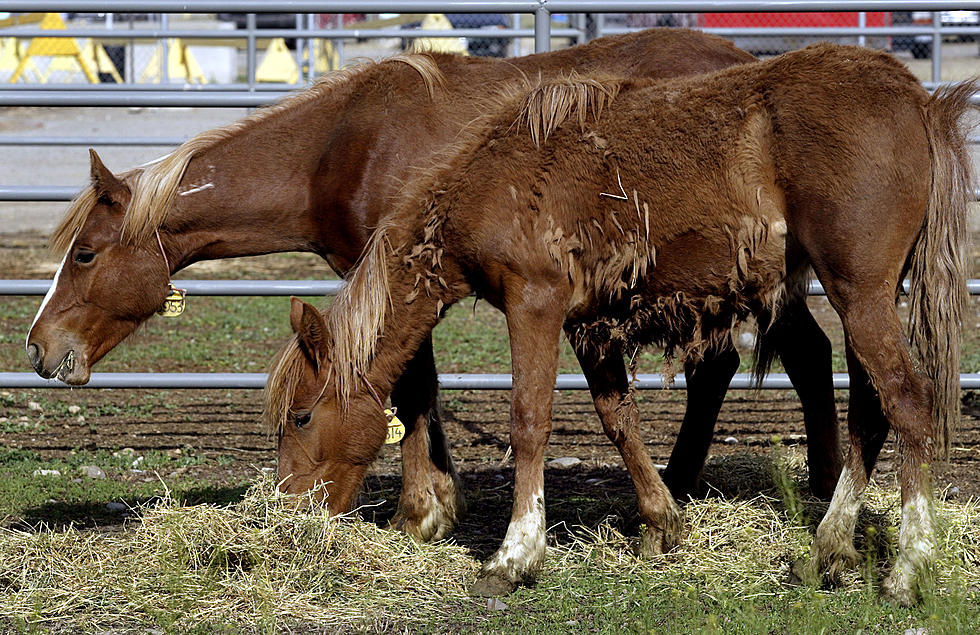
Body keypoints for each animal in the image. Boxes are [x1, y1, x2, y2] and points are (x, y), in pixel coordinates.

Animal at [23, 28, 840, 540]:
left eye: (85, 255)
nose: (38, 347)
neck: (344, 147)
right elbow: (420, 386)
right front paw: (438, 500)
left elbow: (411, 388)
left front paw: (420, 511)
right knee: (752, 362)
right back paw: (692, 479)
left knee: (799, 356)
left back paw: (815, 484)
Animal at [264, 47, 976, 604]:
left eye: (301, 417)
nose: (290, 517)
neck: (496, 177)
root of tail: (919, 100)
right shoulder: (590, 323)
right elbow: (619, 420)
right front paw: (661, 523)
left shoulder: (536, 304)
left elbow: (530, 422)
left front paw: (514, 557)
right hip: (860, 299)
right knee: (869, 410)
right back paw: (829, 549)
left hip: (860, 292)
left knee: (905, 401)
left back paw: (908, 570)